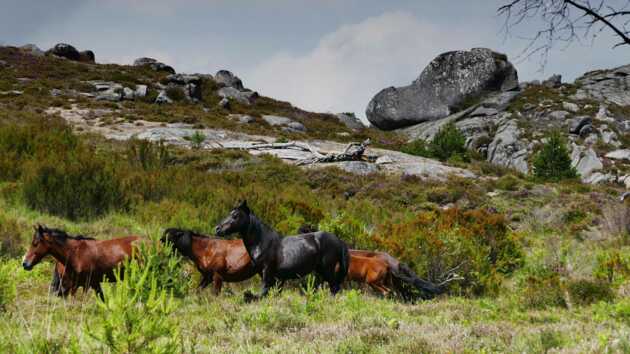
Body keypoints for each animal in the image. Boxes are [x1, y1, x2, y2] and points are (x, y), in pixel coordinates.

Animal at [215, 201, 348, 300]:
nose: (217, 229)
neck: (262, 241)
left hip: (327, 269)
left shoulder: (267, 271)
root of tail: (338, 241)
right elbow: (273, 292)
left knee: (334, 288)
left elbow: (264, 291)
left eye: (235, 215)